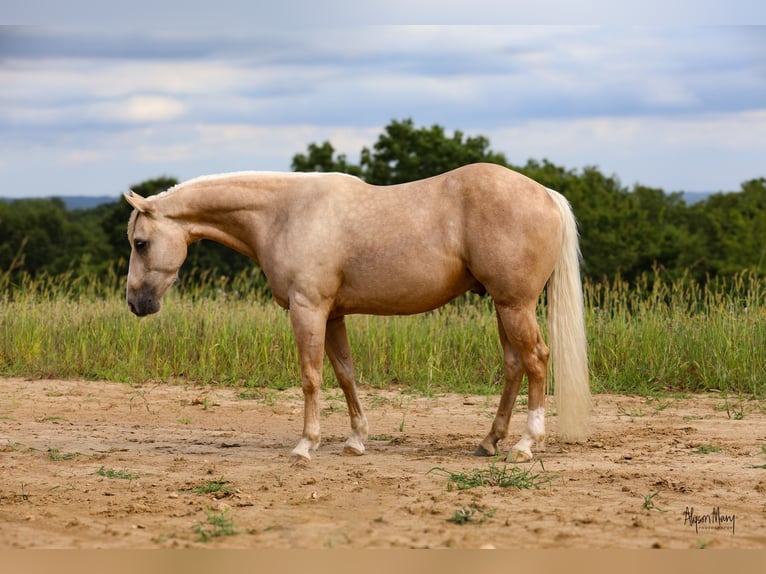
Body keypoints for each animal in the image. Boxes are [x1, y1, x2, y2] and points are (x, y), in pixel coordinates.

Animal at [126, 162, 592, 464]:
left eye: (140, 243)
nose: (135, 303)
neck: (284, 214)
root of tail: (545, 194)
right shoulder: (333, 315)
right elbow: (345, 374)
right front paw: (356, 440)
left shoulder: (308, 309)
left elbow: (311, 377)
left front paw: (305, 446)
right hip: (502, 306)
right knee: (514, 365)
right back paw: (489, 441)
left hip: (515, 306)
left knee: (536, 361)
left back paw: (526, 445)